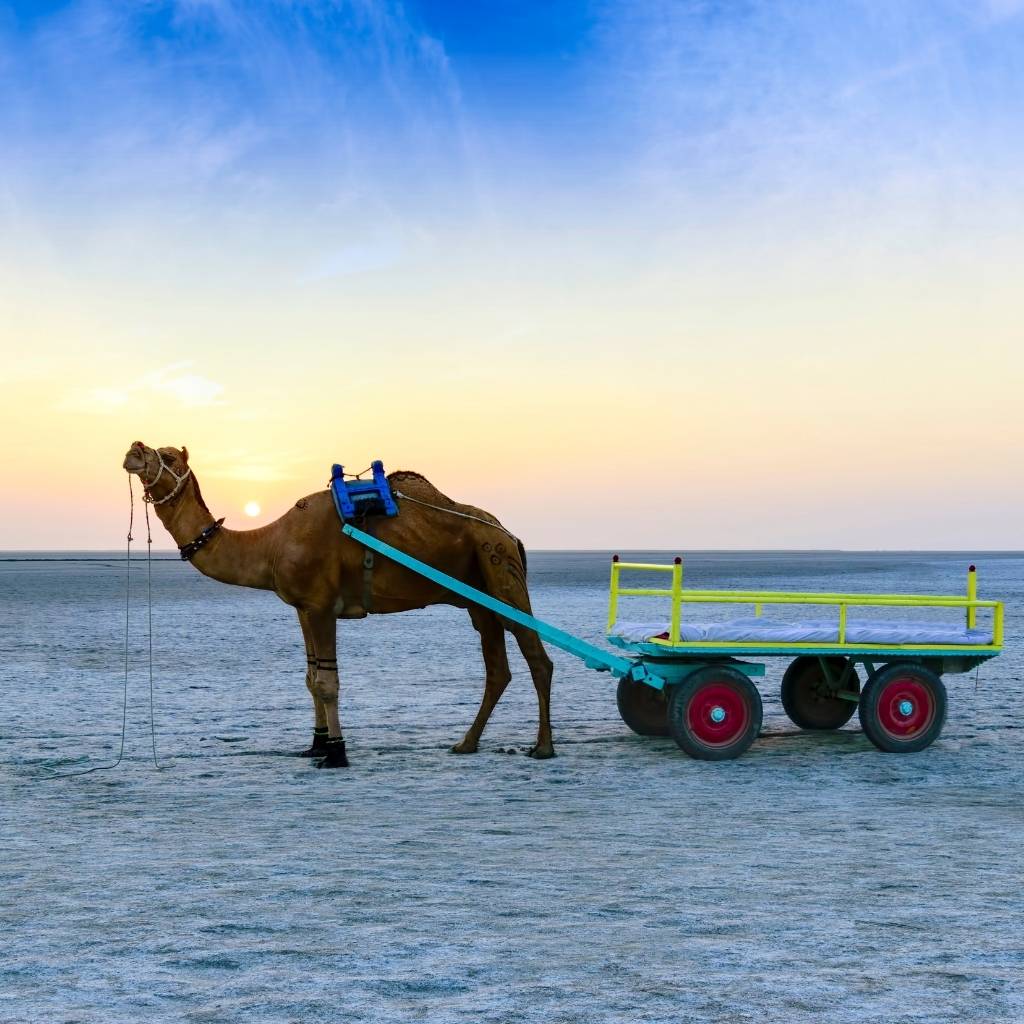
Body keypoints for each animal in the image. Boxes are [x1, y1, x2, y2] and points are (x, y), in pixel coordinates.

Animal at [122, 440, 557, 770]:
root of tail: (508, 532)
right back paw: (466, 743)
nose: (134, 449)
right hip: (477, 594)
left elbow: (328, 682)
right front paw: (315, 744)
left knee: (537, 656)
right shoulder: (301, 608)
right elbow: (310, 677)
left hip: (500, 567)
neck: (271, 545)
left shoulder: (320, 605)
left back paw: (543, 747)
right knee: (497, 667)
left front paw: (336, 753)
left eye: (169, 456)